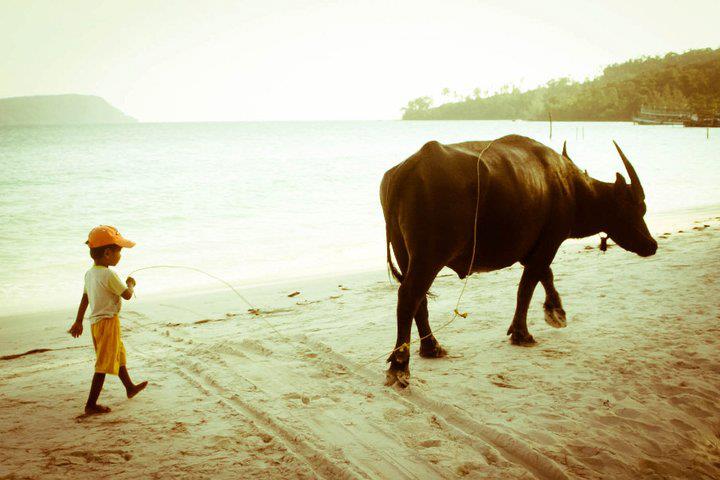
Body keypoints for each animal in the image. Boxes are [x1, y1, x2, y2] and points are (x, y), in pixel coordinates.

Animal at [380, 134, 657, 387]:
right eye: (636, 208)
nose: (652, 245)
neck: (570, 188)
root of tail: (409, 168)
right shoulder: (550, 240)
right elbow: (528, 286)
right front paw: (523, 333)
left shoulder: (534, 248)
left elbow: (545, 275)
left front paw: (556, 312)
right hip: (430, 255)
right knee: (409, 296)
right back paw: (400, 365)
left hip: (405, 253)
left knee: (419, 299)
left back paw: (431, 347)